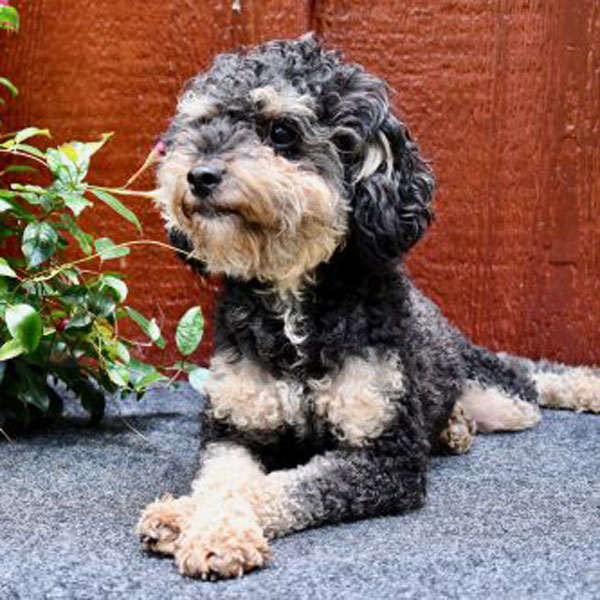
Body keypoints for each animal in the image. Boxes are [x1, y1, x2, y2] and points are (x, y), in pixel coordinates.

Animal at [136, 34, 600, 580]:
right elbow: (224, 480)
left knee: (527, 383)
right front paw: (183, 515)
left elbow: (284, 487)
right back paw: (454, 428)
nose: (199, 175)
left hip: (507, 401)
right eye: (203, 123)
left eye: (281, 131)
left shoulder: (385, 457)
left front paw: (214, 535)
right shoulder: (233, 429)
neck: (295, 310)